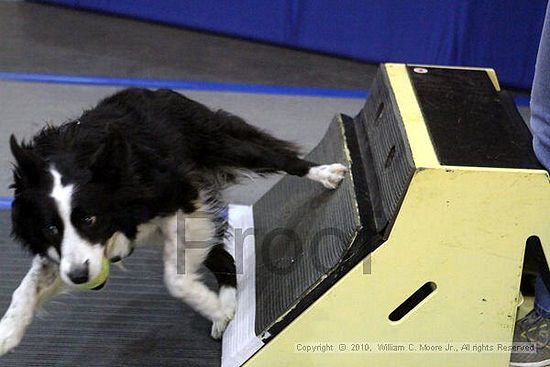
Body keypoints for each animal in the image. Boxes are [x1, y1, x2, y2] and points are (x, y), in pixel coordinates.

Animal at [0, 87, 348, 356]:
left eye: (89, 218)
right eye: (50, 228)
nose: (80, 277)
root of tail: (153, 91)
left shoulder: (183, 196)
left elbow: (175, 280)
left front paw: (215, 307)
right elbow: (26, 289)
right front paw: (6, 334)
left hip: (221, 144)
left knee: (281, 158)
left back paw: (327, 173)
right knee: (224, 258)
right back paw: (225, 310)